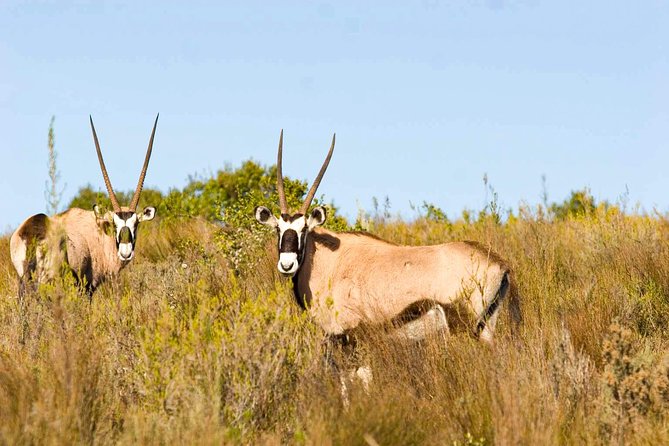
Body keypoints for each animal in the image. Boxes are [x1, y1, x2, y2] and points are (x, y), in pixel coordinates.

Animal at [10, 115, 159, 298]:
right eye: (115, 225)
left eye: (136, 224)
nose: (125, 252)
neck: (99, 232)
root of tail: (32, 231)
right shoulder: (87, 286)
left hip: (23, 280)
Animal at [256, 131, 520, 346]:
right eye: (278, 229)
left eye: (303, 230)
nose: (287, 264)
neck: (328, 262)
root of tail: (499, 264)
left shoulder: (346, 334)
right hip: (486, 328)